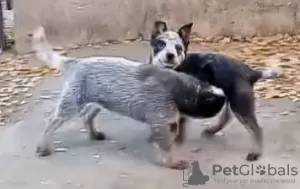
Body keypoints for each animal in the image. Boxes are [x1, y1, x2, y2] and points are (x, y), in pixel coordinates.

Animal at [31, 25, 226, 169]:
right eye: (215, 103)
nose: (225, 102)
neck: (180, 86)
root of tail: (76, 62)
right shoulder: (162, 116)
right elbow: (165, 143)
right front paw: (170, 161)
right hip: (73, 99)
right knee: (53, 120)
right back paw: (43, 145)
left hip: (97, 101)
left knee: (87, 115)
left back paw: (93, 133)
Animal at [149, 21, 280, 162]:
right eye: (161, 44)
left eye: (179, 48)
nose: (170, 55)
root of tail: (250, 72)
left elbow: (179, 123)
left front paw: (176, 140)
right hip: (233, 101)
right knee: (227, 117)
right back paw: (212, 130)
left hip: (240, 105)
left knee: (256, 129)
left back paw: (256, 153)